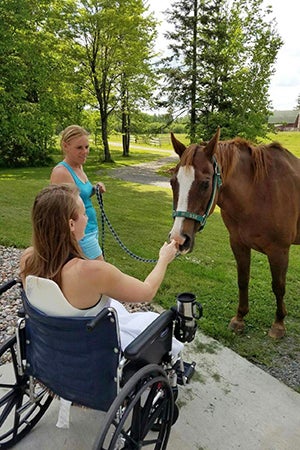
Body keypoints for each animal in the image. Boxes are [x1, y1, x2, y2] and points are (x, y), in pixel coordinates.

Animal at [168, 129, 300, 338]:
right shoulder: (239, 244)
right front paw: (240, 318)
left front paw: (279, 324)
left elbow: (279, 287)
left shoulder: (279, 251)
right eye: (173, 182)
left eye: (205, 184)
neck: (259, 193)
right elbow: (242, 280)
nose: (179, 239)